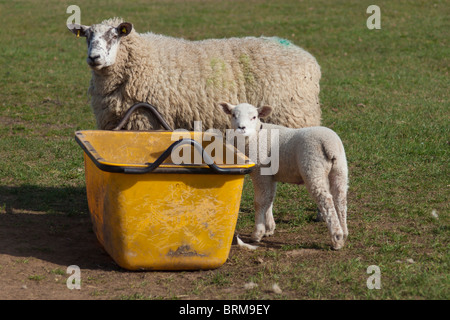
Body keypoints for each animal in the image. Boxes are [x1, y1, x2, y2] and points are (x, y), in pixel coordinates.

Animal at [66, 16, 320, 132]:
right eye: (87, 36)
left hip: (294, 115)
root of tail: (307, 57)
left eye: (114, 36)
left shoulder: (144, 121)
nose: (94, 58)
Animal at [220, 102, 350, 250]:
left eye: (254, 117)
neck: (255, 136)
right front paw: (269, 229)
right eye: (233, 115)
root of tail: (329, 144)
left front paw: (257, 233)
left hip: (313, 167)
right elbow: (269, 199)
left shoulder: (260, 172)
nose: (241, 127)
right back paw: (344, 233)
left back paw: (337, 239)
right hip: (340, 169)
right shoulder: (269, 175)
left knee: (326, 200)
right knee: (340, 198)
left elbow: (260, 201)